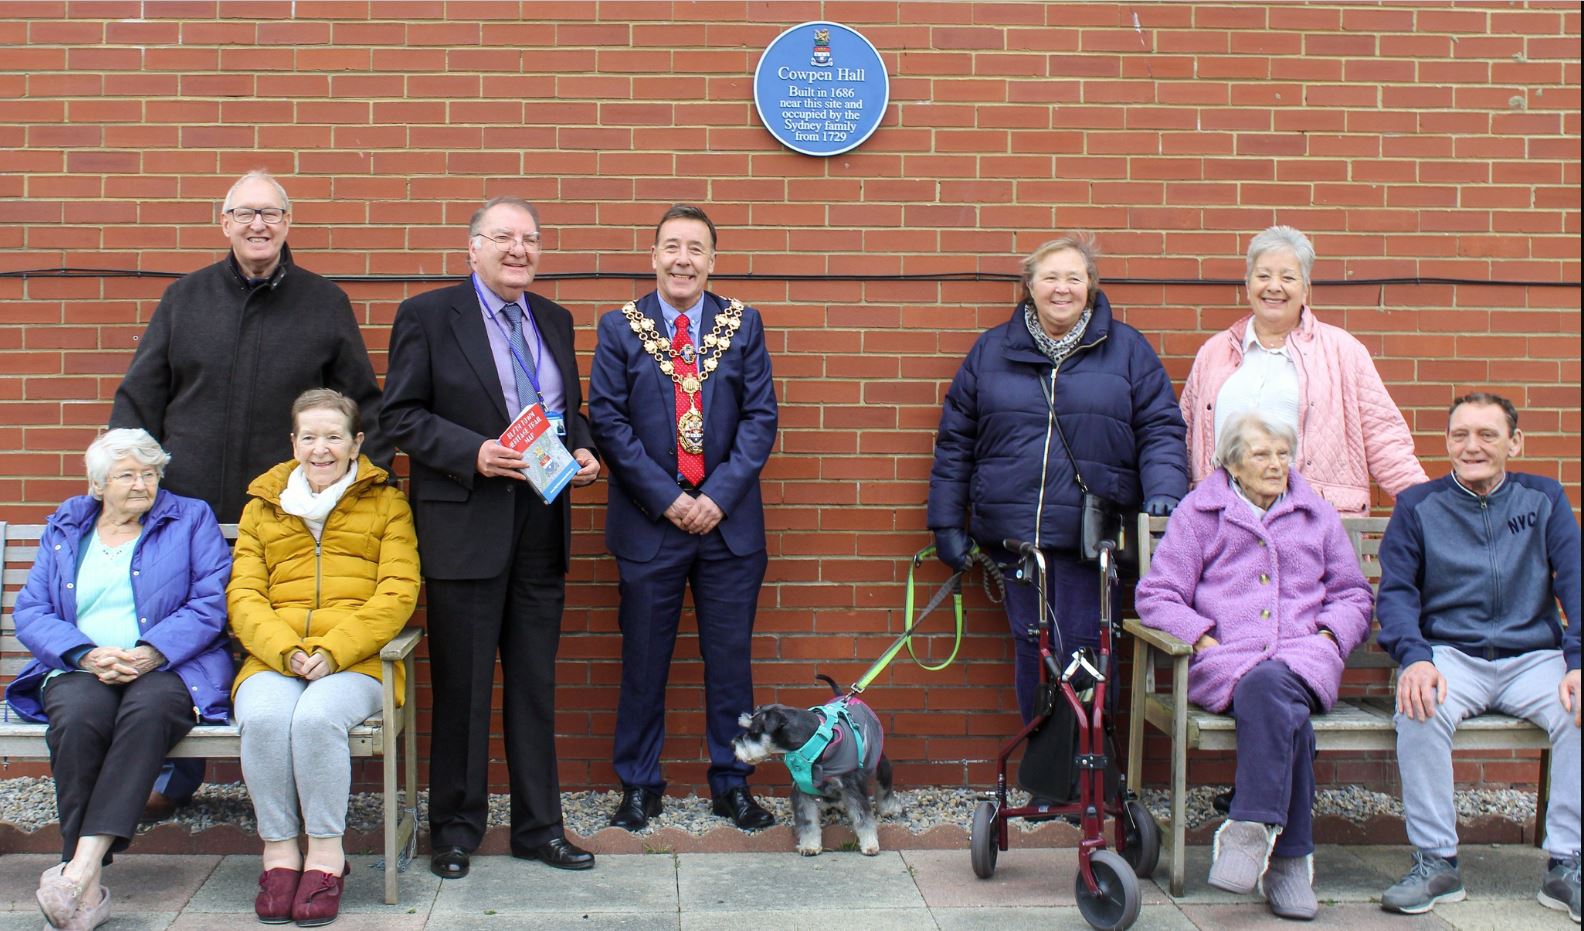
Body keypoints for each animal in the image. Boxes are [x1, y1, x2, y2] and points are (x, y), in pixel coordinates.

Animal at [731, 671, 899, 855]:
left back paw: (889, 808)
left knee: (884, 787)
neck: (814, 743)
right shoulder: (802, 788)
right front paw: (810, 846)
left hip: (880, 762)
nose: (733, 744)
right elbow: (807, 821)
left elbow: (863, 818)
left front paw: (870, 844)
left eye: (754, 732)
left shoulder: (852, 787)